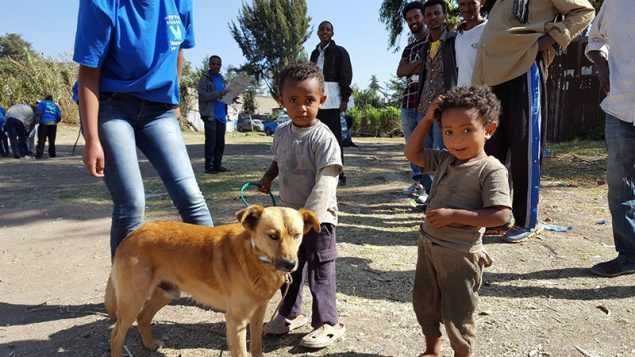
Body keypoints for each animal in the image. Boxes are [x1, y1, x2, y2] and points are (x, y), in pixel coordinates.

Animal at [107, 204, 322, 354]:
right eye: (273, 236)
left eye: (297, 235)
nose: (290, 265)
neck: (254, 256)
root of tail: (131, 235)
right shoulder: (236, 321)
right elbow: (242, 353)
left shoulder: (258, 314)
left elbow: (257, 347)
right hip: (133, 300)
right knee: (116, 336)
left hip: (167, 292)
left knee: (143, 317)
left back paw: (150, 344)